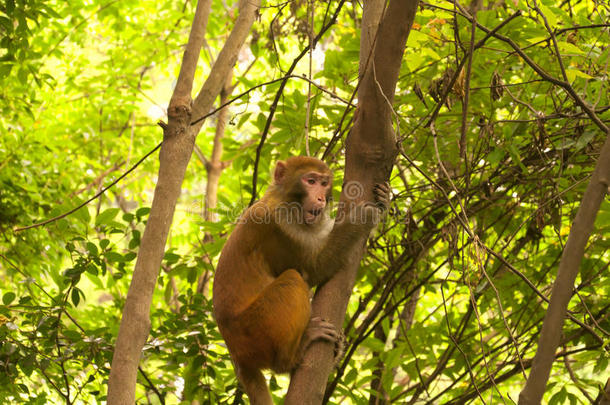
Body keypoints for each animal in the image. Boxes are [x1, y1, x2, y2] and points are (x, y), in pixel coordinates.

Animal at [211, 155, 388, 404]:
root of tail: (236, 354)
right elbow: (314, 268)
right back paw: (291, 356)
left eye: (324, 183)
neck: (284, 199)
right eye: (310, 181)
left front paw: (385, 199)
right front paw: (363, 217)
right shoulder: (281, 226)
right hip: (255, 328)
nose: (321, 197)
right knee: (293, 279)